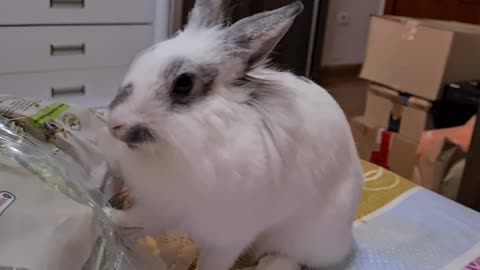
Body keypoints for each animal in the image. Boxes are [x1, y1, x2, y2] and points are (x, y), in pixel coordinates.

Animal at [105, 1, 362, 268]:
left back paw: (269, 264)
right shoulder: (160, 207)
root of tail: (345, 241)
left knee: (292, 257)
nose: (114, 124)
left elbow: (211, 264)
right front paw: (107, 216)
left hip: (301, 237)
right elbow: (135, 220)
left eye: (184, 84)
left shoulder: (227, 238)